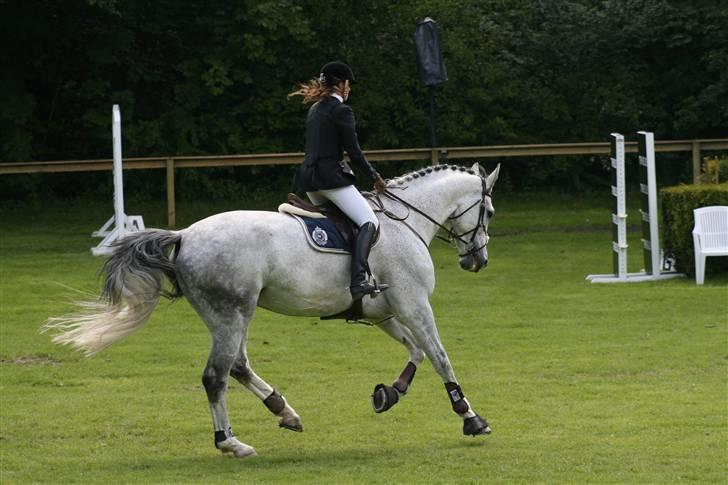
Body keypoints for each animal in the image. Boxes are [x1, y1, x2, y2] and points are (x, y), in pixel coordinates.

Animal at [42, 164, 500, 458]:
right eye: (489, 211)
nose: (477, 261)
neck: (404, 222)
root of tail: (184, 235)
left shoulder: (384, 312)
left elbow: (417, 352)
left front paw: (389, 393)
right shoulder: (414, 304)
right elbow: (440, 357)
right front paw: (470, 417)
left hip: (231, 315)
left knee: (238, 366)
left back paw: (285, 411)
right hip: (232, 314)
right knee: (216, 376)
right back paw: (231, 442)